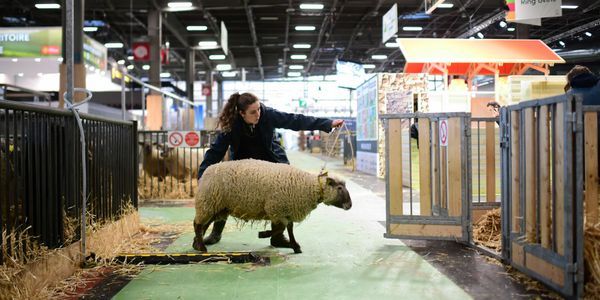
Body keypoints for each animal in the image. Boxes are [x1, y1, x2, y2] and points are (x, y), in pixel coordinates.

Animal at [192, 158, 352, 254]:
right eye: (339, 188)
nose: (350, 205)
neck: (308, 186)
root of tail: (207, 171)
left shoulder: (286, 210)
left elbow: (289, 228)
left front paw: (294, 245)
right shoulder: (275, 208)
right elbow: (281, 228)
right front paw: (264, 234)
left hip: (217, 207)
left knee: (203, 224)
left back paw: (197, 244)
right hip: (208, 202)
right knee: (197, 224)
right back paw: (202, 247)